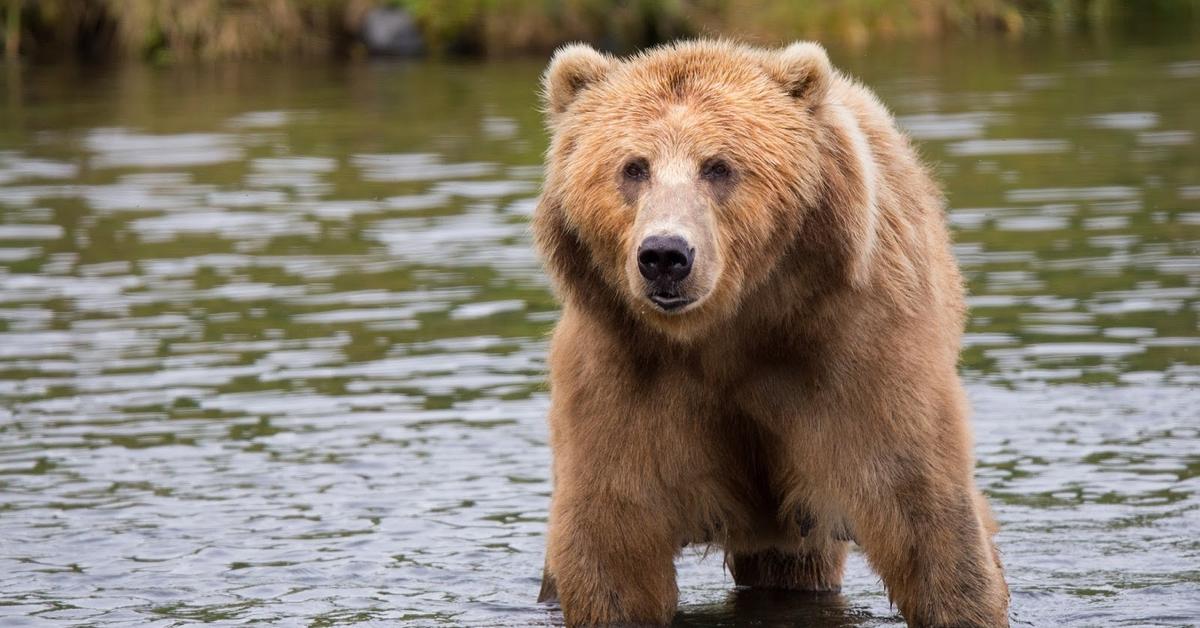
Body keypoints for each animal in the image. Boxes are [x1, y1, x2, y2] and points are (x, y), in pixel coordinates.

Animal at [530, 40, 1008, 628]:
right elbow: (613, 540)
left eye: (718, 166)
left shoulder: (853, 349)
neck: (729, 329)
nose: (665, 255)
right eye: (633, 167)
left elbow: (923, 508)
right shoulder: (624, 370)